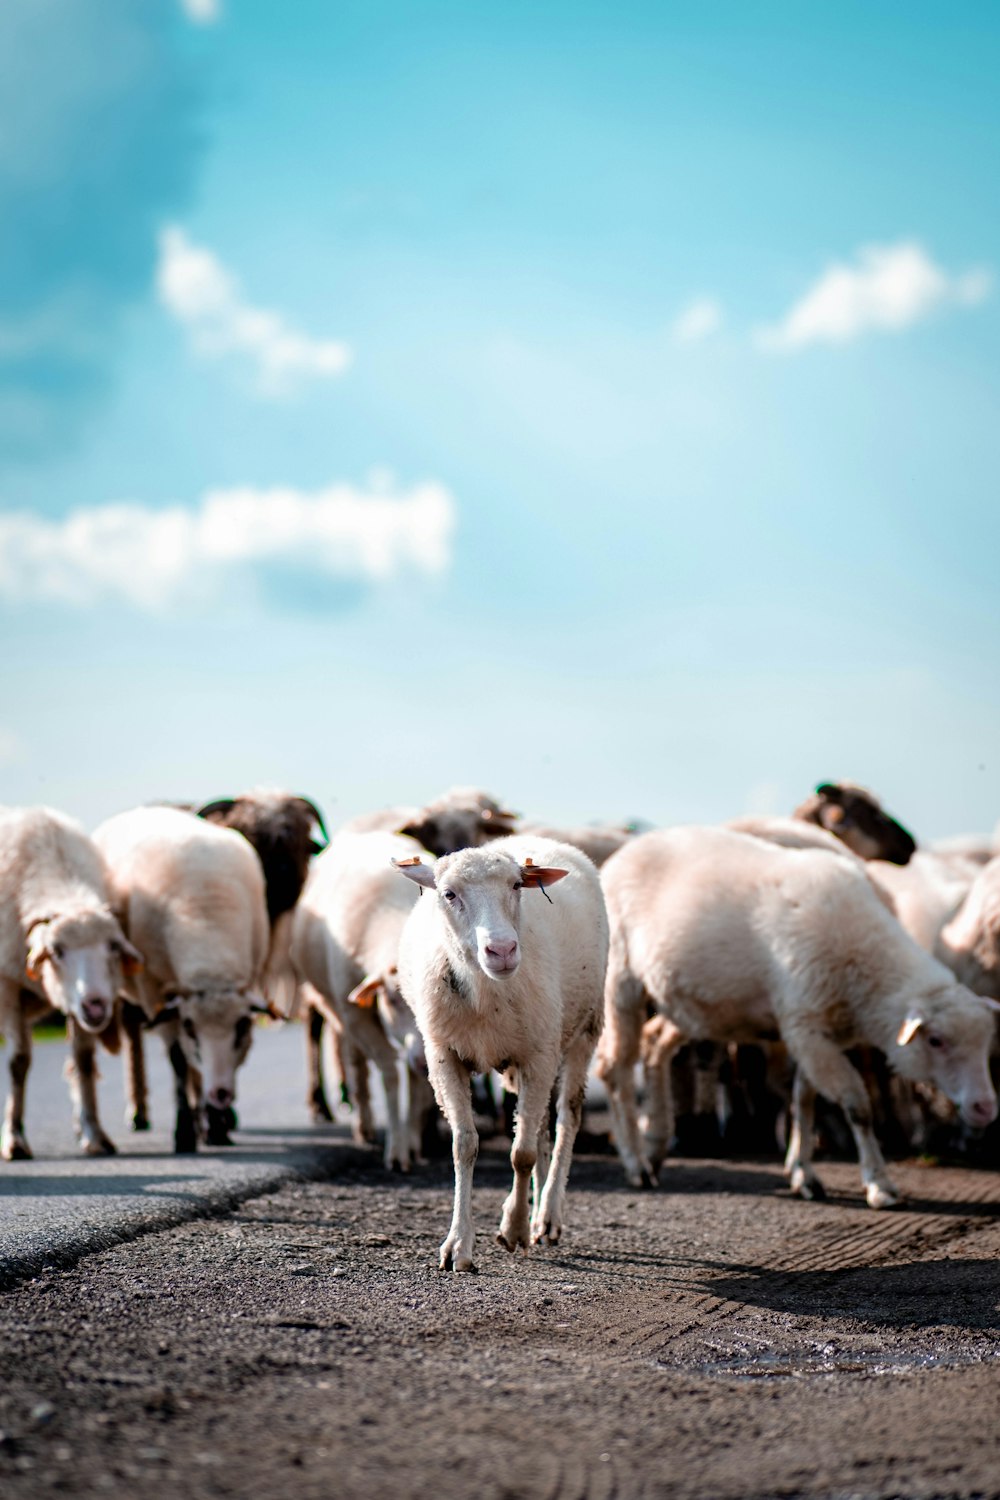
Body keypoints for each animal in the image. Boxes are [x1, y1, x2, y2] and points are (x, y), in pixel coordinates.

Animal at [0, 810, 142, 1158]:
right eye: (56, 951)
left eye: (113, 946)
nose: (96, 1004)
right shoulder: (7, 986)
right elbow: (18, 1061)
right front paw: (14, 1138)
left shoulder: (77, 1009)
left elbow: (84, 1061)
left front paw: (94, 1133)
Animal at [93, 810, 269, 1146]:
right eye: (189, 1026)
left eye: (242, 1026)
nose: (221, 1094)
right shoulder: (154, 991)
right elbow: (178, 1060)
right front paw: (184, 1131)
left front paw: (216, 1126)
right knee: (136, 1034)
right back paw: (141, 1114)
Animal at [287, 834, 431, 1170]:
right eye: (391, 999)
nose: (423, 1061)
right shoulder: (355, 1014)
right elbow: (390, 1072)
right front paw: (397, 1151)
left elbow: (414, 1080)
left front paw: (413, 1142)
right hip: (336, 1008)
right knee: (356, 1065)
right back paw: (363, 1126)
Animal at [395, 840, 605, 1272]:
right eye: (448, 893)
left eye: (516, 885)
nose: (503, 950)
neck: (486, 992)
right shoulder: (443, 1056)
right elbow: (464, 1146)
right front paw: (458, 1246)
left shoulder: (539, 1055)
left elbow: (521, 1154)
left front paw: (515, 1229)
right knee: (539, 1126)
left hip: (584, 1028)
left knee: (566, 1117)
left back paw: (547, 1216)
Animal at [599, 828, 995, 1212]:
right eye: (936, 1040)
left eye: (985, 1045)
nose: (985, 1107)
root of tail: (625, 852)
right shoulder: (806, 1028)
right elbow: (857, 1106)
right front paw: (879, 1184)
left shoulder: (814, 1031)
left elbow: (804, 1100)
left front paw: (803, 1173)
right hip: (621, 980)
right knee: (616, 1068)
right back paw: (636, 1164)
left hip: (689, 1004)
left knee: (654, 1046)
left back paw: (655, 1147)